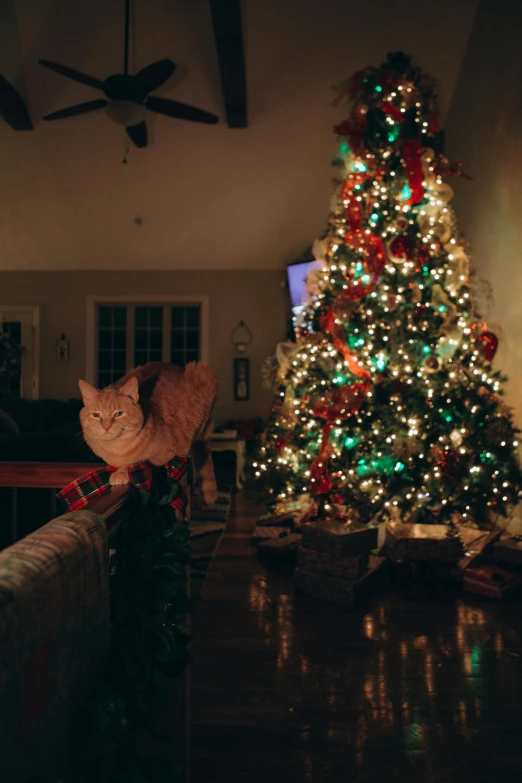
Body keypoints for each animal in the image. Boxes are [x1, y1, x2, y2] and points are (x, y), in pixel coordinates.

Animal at [77, 362, 215, 502]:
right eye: (96, 415)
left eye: (118, 414)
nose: (106, 427)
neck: (115, 449)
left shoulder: (164, 456)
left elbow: (137, 462)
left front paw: (122, 471)